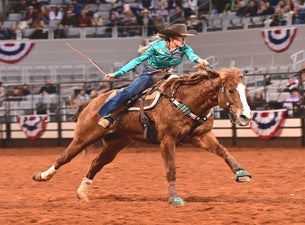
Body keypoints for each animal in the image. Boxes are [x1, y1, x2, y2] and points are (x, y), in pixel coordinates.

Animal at [32, 65, 252, 206]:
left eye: (245, 90)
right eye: (230, 90)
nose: (246, 116)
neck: (185, 100)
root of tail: (92, 103)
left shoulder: (201, 136)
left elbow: (223, 152)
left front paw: (241, 173)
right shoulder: (167, 140)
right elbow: (171, 170)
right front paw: (175, 199)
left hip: (115, 144)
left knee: (96, 163)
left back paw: (82, 193)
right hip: (84, 136)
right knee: (64, 157)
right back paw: (42, 176)